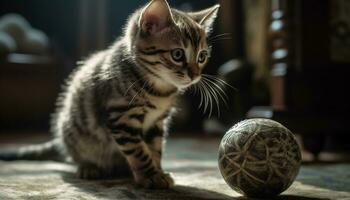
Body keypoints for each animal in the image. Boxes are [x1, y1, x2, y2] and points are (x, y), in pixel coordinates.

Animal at [0, 0, 219, 189]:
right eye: (177, 55)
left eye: (202, 57)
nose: (195, 75)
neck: (159, 90)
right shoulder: (122, 117)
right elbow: (139, 151)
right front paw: (150, 175)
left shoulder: (157, 122)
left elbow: (155, 149)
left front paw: (157, 171)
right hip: (72, 129)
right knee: (77, 155)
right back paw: (88, 166)